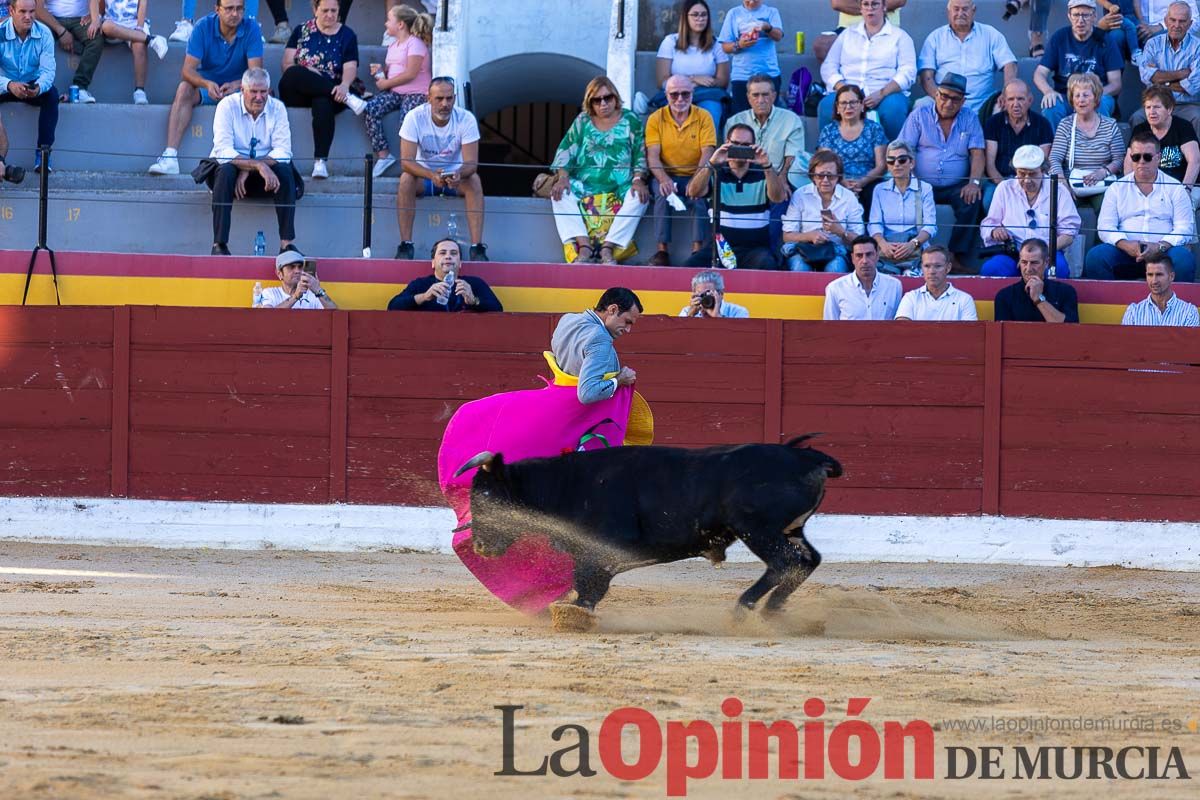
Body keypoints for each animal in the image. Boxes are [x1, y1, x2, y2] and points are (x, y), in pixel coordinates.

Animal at [453, 438, 840, 618]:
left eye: (485, 496)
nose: (480, 546)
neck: (565, 485)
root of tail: (805, 456)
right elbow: (586, 586)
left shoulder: (598, 550)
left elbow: (589, 587)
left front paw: (574, 616)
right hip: (788, 530)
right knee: (806, 561)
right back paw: (773, 611)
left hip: (758, 530)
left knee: (785, 563)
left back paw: (744, 608)